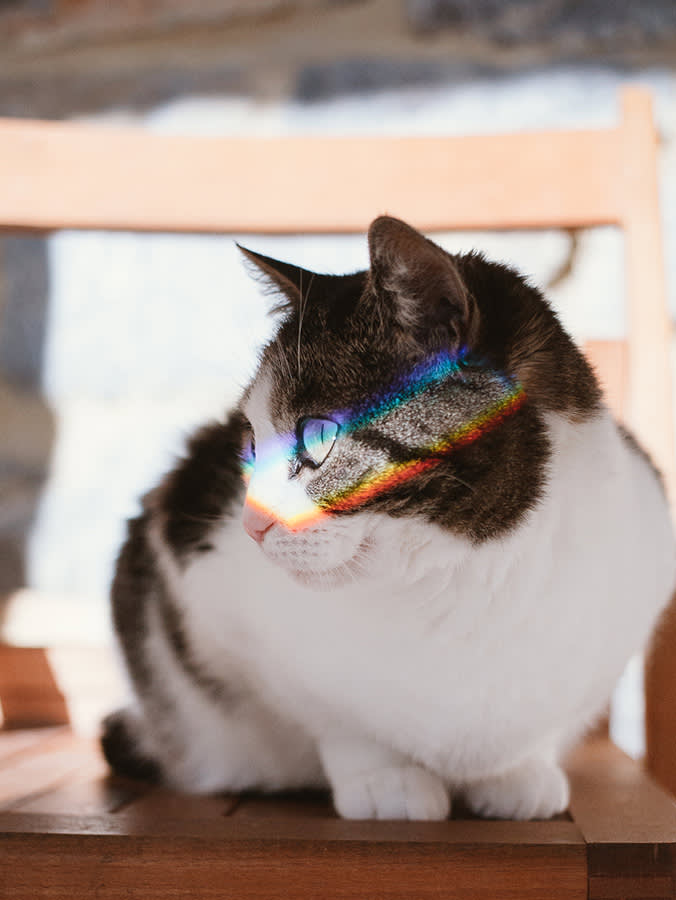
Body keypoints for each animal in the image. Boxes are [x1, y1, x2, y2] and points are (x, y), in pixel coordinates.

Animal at [101, 214, 676, 820]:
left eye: (318, 436)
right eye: (252, 443)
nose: (250, 527)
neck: (460, 577)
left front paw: (517, 774)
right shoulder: (210, 592)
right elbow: (340, 721)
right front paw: (386, 781)